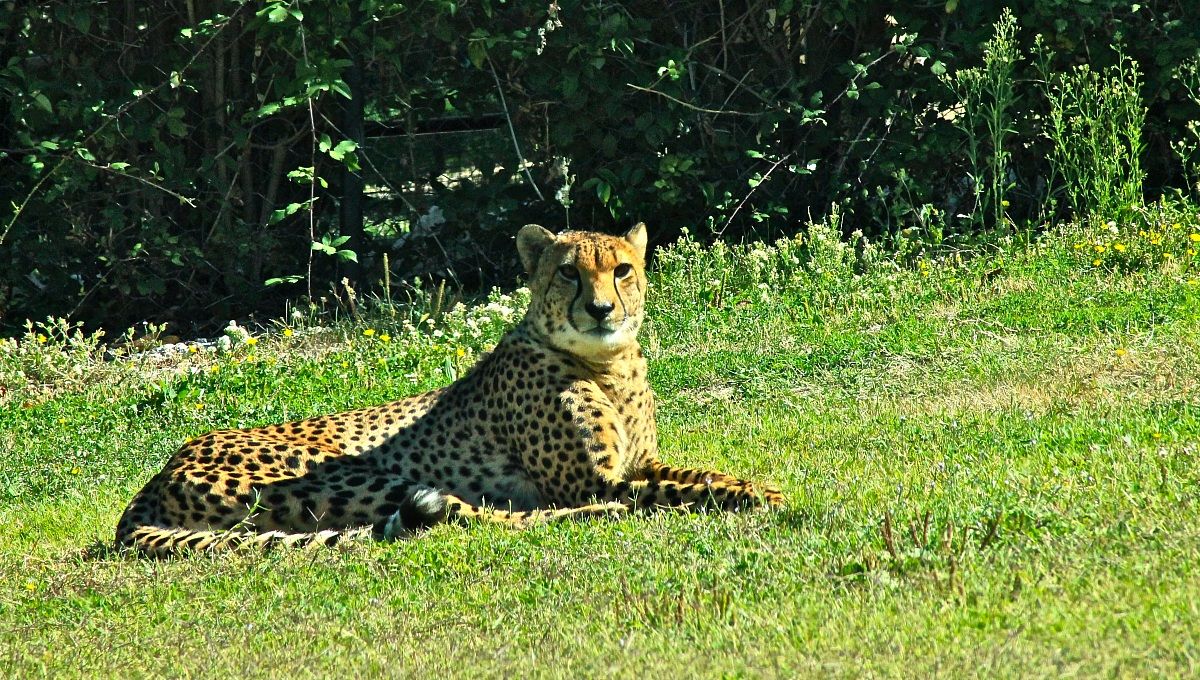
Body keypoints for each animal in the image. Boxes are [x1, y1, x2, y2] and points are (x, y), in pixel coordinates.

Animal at [116, 223, 785, 556]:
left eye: (621, 269)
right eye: (569, 272)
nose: (600, 309)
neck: (608, 365)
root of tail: (165, 466)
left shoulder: (638, 461)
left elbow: (700, 474)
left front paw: (758, 487)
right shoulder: (597, 479)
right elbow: (671, 492)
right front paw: (756, 499)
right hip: (357, 478)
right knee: (481, 515)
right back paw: (593, 517)